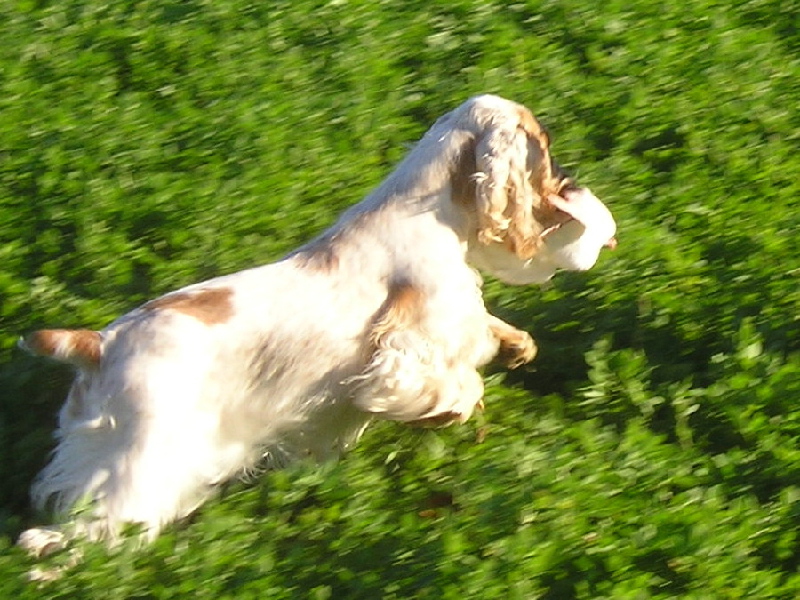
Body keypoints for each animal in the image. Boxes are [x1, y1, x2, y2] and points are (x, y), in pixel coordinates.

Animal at [18, 95, 616, 558]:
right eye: (542, 144)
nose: (570, 181)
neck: (430, 211)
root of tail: (98, 343)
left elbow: (489, 334)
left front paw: (518, 348)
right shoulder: (393, 360)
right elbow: (451, 384)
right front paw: (454, 408)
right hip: (142, 456)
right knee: (98, 527)